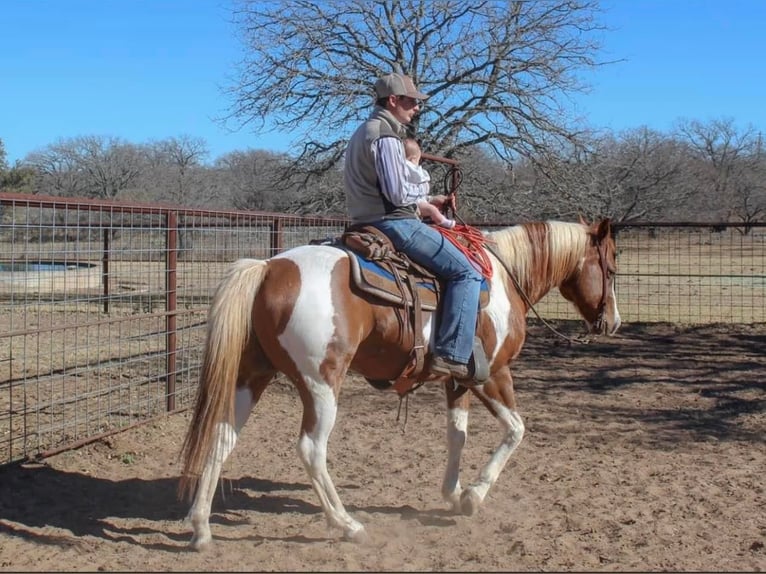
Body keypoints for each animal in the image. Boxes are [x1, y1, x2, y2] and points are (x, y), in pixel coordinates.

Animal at [177, 217, 620, 548]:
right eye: (612, 266)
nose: (613, 322)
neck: (502, 280)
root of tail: (269, 268)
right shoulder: (492, 374)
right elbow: (516, 430)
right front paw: (473, 496)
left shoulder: (457, 380)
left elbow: (457, 435)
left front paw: (452, 492)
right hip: (321, 385)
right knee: (311, 450)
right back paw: (347, 525)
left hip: (252, 375)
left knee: (222, 436)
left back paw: (201, 528)